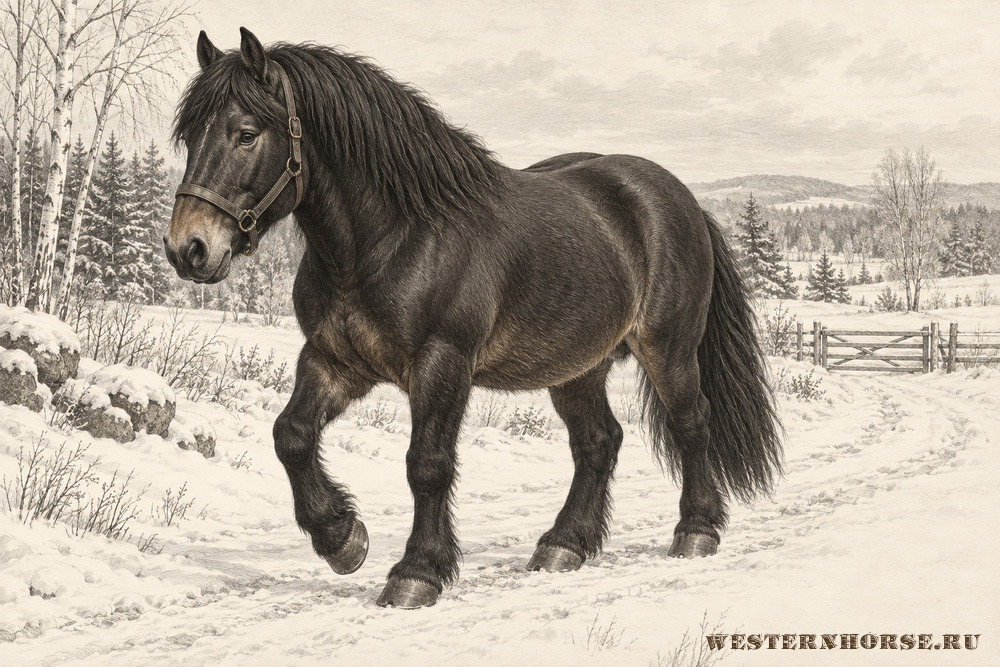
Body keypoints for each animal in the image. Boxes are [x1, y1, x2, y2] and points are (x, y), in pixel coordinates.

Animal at [164, 28, 783, 609]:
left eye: (246, 134)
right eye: (190, 135)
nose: (187, 248)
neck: (393, 238)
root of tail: (681, 199)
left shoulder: (443, 363)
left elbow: (427, 464)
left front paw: (416, 573)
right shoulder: (333, 360)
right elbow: (290, 435)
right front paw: (341, 538)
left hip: (668, 348)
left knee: (690, 423)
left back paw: (696, 532)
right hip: (577, 366)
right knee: (598, 442)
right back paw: (563, 545)